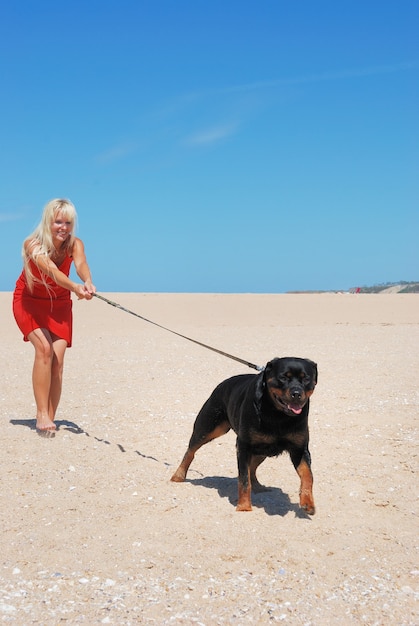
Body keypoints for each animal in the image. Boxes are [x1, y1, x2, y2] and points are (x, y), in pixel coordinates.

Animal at [171, 356, 318, 512]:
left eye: (306, 378)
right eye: (283, 377)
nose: (296, 394)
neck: (278, 415)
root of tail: (222, 384)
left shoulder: (300, 449)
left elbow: (308, 475)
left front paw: (307, 502)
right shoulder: (244, 446)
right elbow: (243, 479)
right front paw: (244, 506)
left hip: (261, 450)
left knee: (252, 467)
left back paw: (258, 486)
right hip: (209, 427)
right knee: (191, 450)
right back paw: (178, 475)